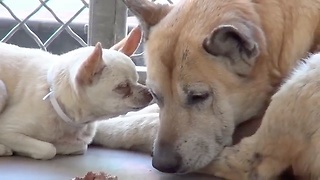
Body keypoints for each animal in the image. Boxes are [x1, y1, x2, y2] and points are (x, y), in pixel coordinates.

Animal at [0, 26, 153, 159]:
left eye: (137, 80)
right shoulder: (7, 131)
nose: (150, 92)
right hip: (2, 88)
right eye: (122, 87)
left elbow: (76, 146)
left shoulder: (80, 142)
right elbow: (49, 149)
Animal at [95, 0, 320, 176]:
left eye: (199, 96)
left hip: (309, 73)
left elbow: (145, 123)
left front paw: (104, 127)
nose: (162, 164)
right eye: (155, 95)